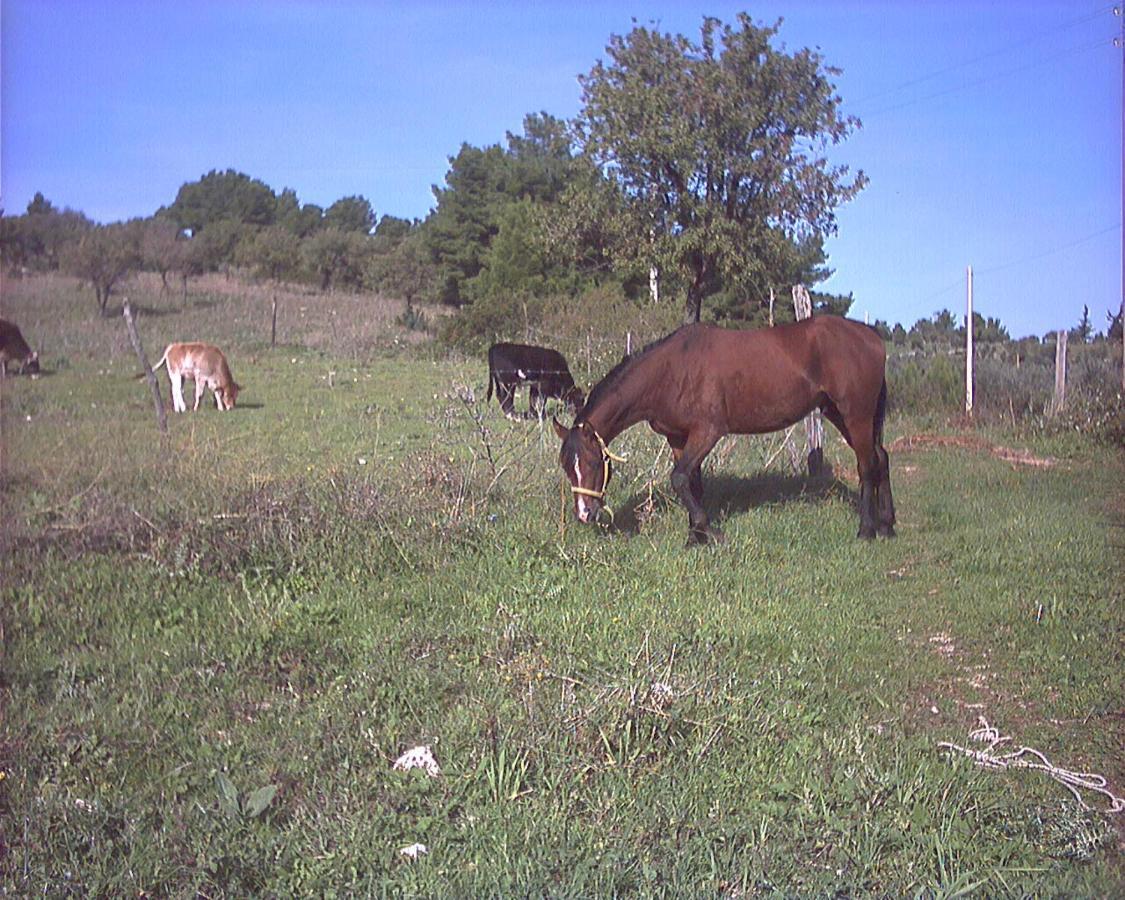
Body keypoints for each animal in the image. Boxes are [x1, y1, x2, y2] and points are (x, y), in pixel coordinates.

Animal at [553, 317, 895, 542]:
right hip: (838, 413)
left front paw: (709, 531)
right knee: (881, 457)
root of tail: (871, 336)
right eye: (567, 469)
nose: (585, 514)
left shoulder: (708, 431)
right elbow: (691, 482)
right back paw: (887, 525)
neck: (670, 370)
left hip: (856, 414)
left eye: (593, 463)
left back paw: (866, 530)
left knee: (867, 466)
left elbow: (679, 478)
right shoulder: (678, 437)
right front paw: (695, 536)